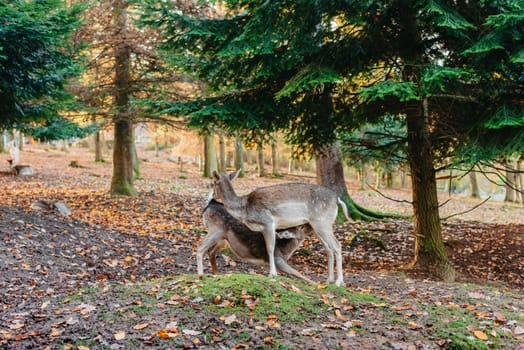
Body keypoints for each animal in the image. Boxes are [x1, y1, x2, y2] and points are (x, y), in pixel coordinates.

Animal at [211, 171, 346, 286]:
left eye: (213, 183)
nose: (212, 196)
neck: (244, 210)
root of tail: (337, 199)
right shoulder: (263, 228)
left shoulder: (268, 222)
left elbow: (270, 248)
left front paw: (272, 274)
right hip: (317, 225)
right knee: (328, 249)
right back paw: (329, 280)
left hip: (322, 222)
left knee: (337, 245)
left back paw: (339, 282)